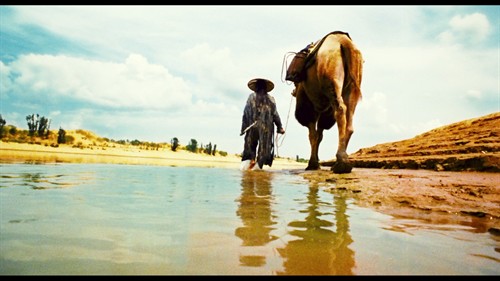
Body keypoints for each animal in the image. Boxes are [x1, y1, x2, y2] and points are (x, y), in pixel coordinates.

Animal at [290, 32, 364, 173]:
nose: (293, 91)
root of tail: (345, 43)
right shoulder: (324, 110)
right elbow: (319, 134)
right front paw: (315, 162)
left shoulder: (307, 104)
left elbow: (313, 134)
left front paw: (312, 164)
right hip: (353, 85)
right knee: (349, 116)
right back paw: (342, 162)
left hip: (330, 77)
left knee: (340, 109)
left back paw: (341, 162)